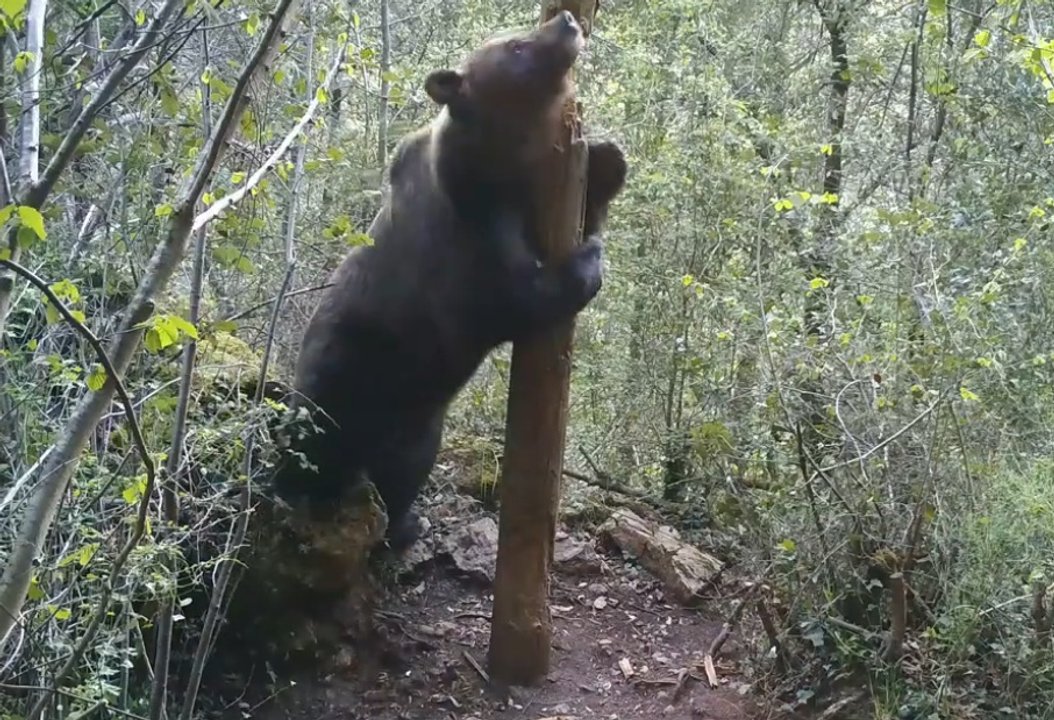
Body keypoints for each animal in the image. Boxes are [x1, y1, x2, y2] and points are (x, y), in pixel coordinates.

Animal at [273, 10, 627, 553]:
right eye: (516, 47)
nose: (567, 21)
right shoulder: (470, 238)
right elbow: (521, 297)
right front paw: (588, 261)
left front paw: (609, 160)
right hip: (344, 377)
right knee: (317, 446)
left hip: (418, 418)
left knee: (404, 469)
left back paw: (404, 523)